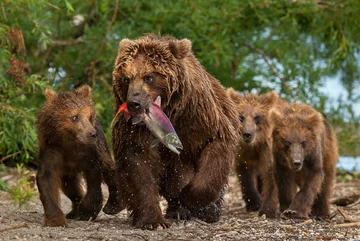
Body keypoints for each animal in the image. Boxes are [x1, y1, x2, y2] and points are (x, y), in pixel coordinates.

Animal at [112, 34, 242, 230]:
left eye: (149, 77)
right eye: (126, 78)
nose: (134, 104)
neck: (169, 111)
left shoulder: (197, 116)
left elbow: (215, 146)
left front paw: (191, 198)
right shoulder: (135, 131)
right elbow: (139, 165)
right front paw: (153, 221)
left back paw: (206, 211)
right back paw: (178, 210)